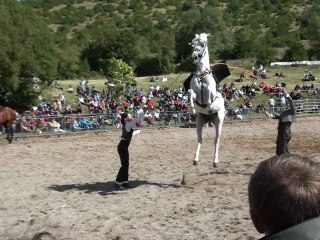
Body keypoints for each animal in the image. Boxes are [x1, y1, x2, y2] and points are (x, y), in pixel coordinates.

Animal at [186, 33, 229, 169]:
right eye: (193, 44)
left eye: (203, 44)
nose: (194, 57)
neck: (201, 75)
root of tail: (210, 120)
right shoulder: (195, 93)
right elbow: (190, 92)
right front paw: (192, 108)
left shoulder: (212, 92)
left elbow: (210, 93)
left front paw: (209, 107)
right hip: (200, 122)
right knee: (200, 139)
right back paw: (195, 159)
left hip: (219, 122)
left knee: (216, 140)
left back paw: (215, 161)